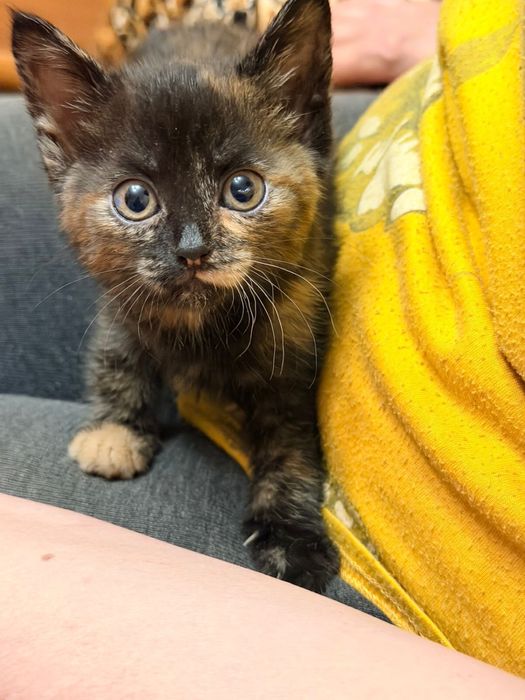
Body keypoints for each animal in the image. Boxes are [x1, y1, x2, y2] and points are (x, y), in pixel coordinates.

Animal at [12, 0, 339, 592]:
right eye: (136, 199)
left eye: (243, 190)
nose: (192, 250)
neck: (202, 323)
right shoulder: (119, 296)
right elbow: (117, 353)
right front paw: (115, 430)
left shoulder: (296, 328)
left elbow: (291, 440)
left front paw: (290, 534)